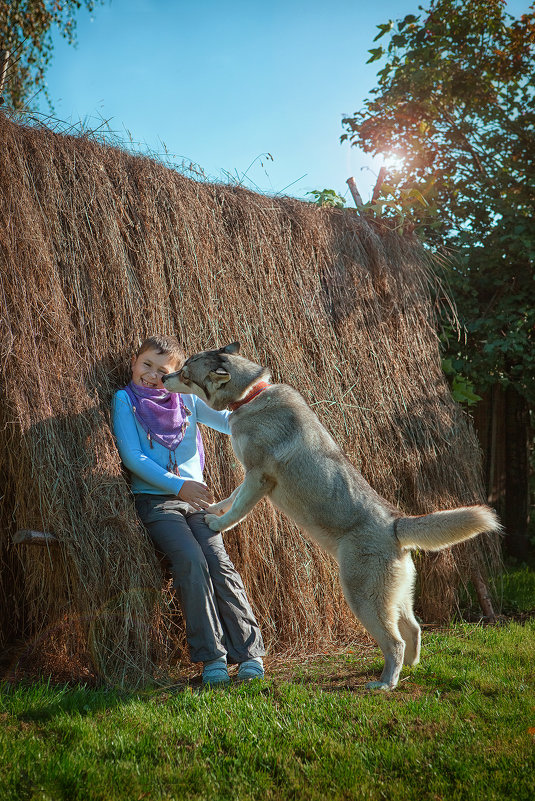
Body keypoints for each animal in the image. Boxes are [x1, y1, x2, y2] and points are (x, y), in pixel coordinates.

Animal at [161, 344, 500, 688]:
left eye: (185, 374)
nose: (163, 378)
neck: (251, 395)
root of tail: (395, 523)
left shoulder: (258, 477)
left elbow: (239, 508)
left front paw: (217, 523)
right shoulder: (250, 477)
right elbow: (230, 498)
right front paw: (213, 509)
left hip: (362, 598)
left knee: (395, 641)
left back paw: (385, 682)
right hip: (397, 597)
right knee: (414, 630)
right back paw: (409, 669)